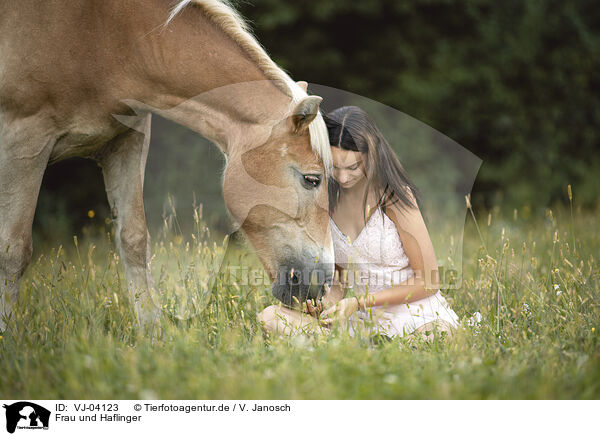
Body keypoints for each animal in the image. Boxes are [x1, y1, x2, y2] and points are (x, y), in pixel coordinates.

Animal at [0, 0, 336, 328]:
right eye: (312, 179)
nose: (322, 282)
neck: (106, 38)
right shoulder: (25, 141)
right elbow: (14, 251)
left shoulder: (127, 140)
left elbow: (134, 240)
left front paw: (151, 331)